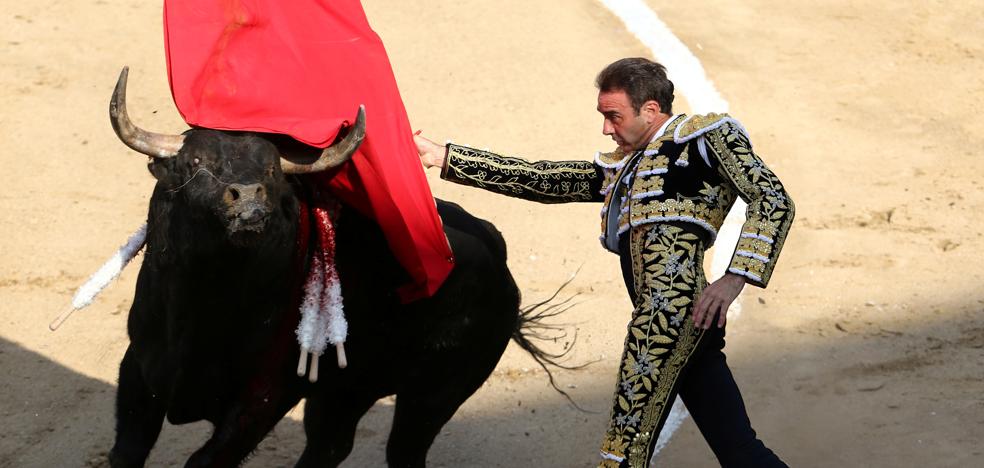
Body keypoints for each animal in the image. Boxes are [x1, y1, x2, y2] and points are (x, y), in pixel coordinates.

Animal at [104, 69, 572, 468]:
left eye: (271, 169)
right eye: (195, 163)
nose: (250, 198)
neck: (204, 303)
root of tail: (499, 257)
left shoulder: (263, 397)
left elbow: (204, 459)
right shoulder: (139, 368)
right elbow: (127, 451)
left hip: (434, 393)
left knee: (403, 450)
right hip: (348, 390)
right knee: (329, 445)